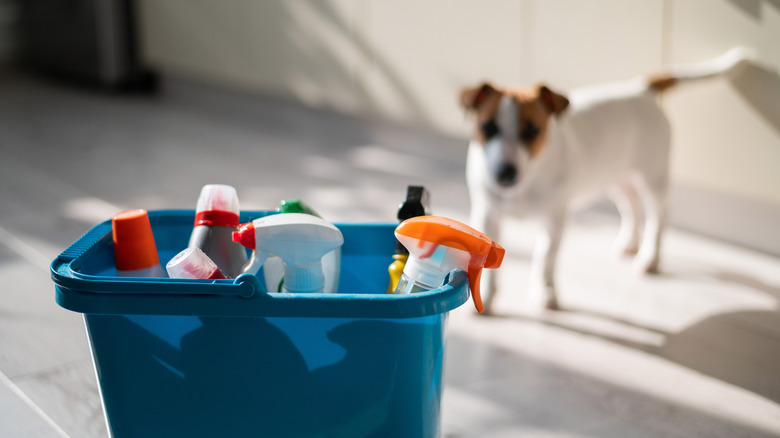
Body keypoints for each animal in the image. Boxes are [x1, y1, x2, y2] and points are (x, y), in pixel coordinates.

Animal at [458, 48, 756, 312]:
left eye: (532, 131)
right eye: (488, 127)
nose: (505, 173)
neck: (528, 181)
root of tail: (641, 89)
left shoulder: (555, 220)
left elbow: (545, 258)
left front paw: (544, 292)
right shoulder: (488, 216)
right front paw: (486, 297)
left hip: (653, 176)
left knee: (659, 214)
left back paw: (650, 258)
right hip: (618, 176)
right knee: (632, 206)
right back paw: (629, 243)